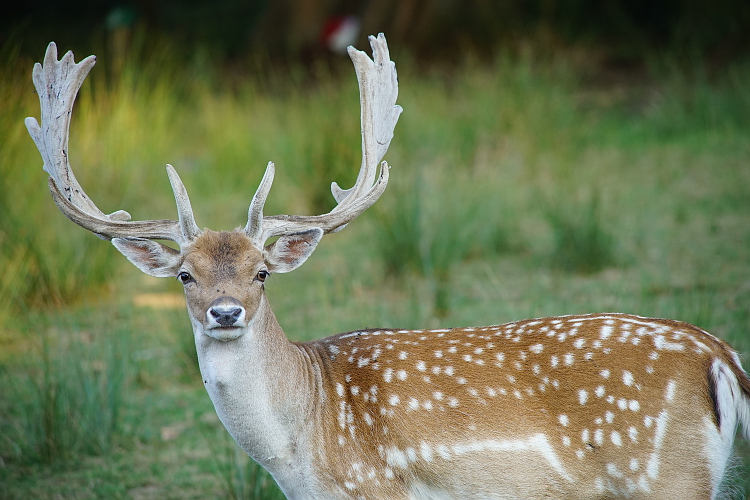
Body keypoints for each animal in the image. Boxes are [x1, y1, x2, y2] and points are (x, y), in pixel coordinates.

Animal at [26, 35, 748, 500]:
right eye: (185, 275)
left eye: (262, 272)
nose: (225, 312)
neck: (305, 455)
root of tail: (723, 358)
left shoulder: (379, 487)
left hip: (665, 475)